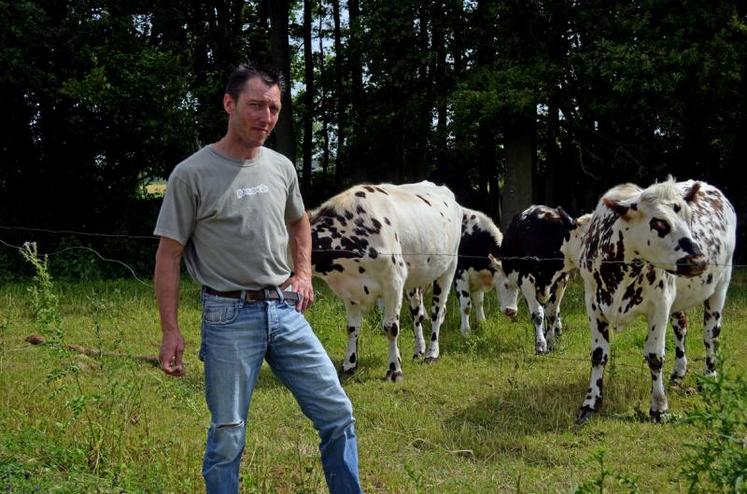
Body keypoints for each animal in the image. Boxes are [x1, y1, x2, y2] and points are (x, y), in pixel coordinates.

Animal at [308, 181, 462, 382]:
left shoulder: (393, 281)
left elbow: (391, 328)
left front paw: (394, 370)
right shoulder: (350, 291)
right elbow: (352, 328)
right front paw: (349, 364)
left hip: (448, 268)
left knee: (438, 312)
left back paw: (431, 354)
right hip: (415, 279)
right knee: (418, 314)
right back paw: (418, 351)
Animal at [452, 206, 512, 334]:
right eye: (505, 284)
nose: (511, 311)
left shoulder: (476, 277)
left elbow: (479, 302)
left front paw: (482, 324)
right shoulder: (460, 273)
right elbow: (466, 304)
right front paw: (465, 331)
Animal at [494, 206, 592, 356]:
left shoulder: (561, 282)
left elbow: (551, 314)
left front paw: (550, 343)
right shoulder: (527, 281)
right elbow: (537, 314)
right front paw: (540, 344)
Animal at [580, 179, 736, 422]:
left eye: (690, 218)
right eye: (660, 223)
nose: (699, 261)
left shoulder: (659, 306)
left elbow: (654, 357)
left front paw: (659, 407)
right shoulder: (593, 304)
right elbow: (598, 355)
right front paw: (591, 402)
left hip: (720, 286)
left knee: (711, 335)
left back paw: (710, 376)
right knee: (681, 326)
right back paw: (679, 371)